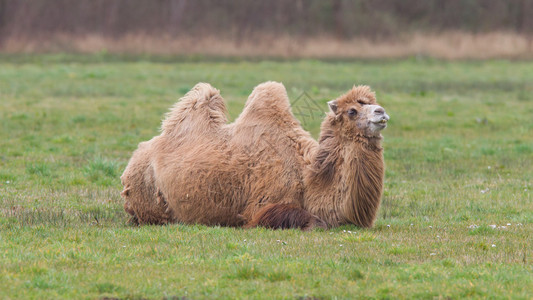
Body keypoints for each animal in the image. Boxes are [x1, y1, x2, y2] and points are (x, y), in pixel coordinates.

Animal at [120, 81, 388, 229]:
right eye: (352, 111)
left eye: (373, 103)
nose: (381, 112)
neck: (307, 178)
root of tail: (132, 161)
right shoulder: (264, 207)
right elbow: (313, 221)